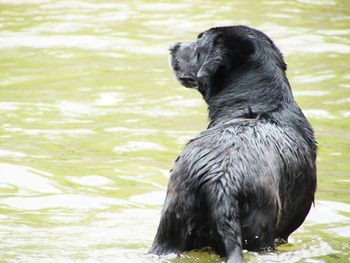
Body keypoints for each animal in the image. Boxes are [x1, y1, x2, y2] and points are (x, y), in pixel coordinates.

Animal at [148, 25, 318, 263]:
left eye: (199, 41)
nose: (172, 46)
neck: (258, 105)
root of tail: (221, 181)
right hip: (259, 235)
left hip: (170, 226)